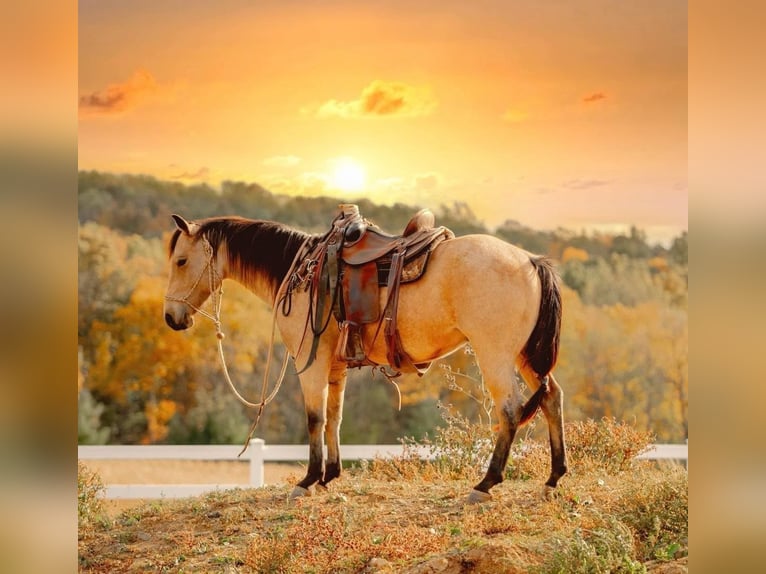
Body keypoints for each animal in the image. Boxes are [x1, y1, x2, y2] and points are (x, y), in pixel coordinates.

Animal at [164, 207, 568, 504]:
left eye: (181, 261)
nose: (171, 318)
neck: (300, 270)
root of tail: (530, 261)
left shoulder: (310, 362)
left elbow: (314, 418)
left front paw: (308, 480)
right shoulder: (335, 366)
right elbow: (334, 418)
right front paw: (329, 476)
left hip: (495, 355)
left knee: (510, 411)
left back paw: (486, 484)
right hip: (524, 357)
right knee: (551, 397)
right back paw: (553, 479)